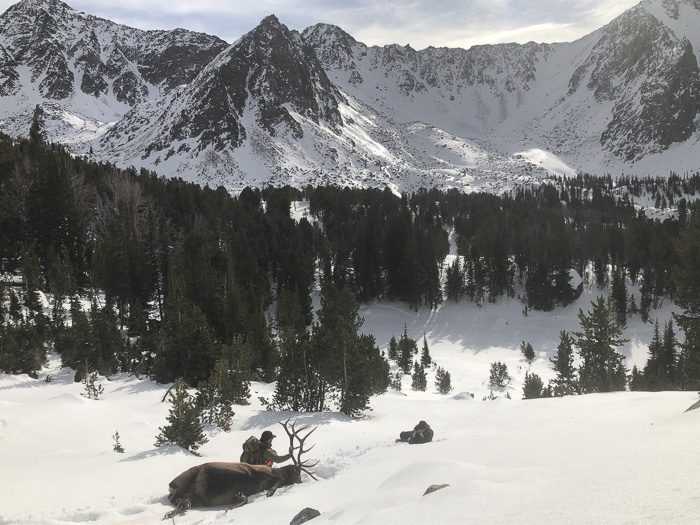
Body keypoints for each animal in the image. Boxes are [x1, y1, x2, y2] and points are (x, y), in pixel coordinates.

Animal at [164, 419, 318, 519]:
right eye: (297, 472)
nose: (301, 482)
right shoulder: (257, 470)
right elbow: (279, 478)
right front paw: (270, 492)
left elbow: (244, 499)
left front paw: (232, 505)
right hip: (187, 476)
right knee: (174, 496)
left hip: (199, 498)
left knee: (182, 501)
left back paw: (176, 509)